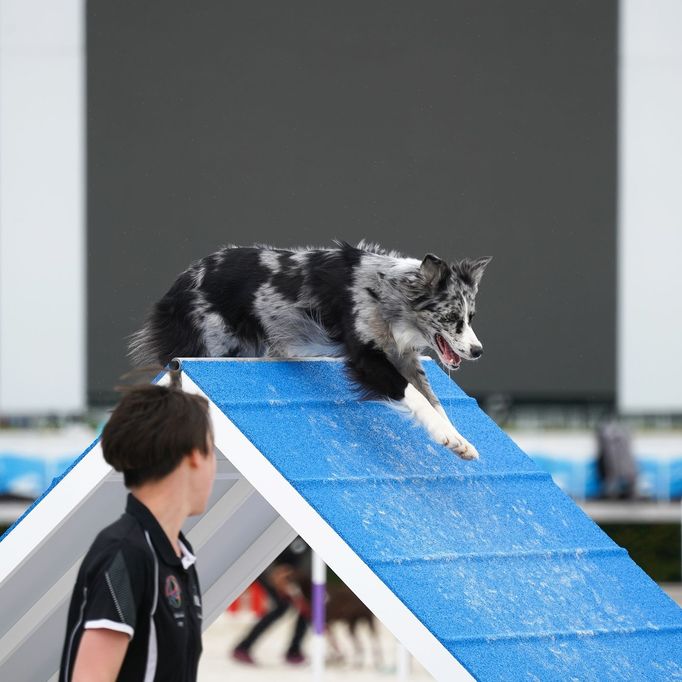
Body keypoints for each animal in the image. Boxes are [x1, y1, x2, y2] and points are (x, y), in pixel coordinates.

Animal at [127, 242, 488, 460]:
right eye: (453, 319)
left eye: (471, 317)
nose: (478, 350)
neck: (391, 293)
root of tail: (176, 286)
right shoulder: (366, 357)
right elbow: (413, 396)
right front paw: (446, 437)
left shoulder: (404, 357)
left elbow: (434, 400)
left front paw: (460, 440)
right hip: (213, 346)